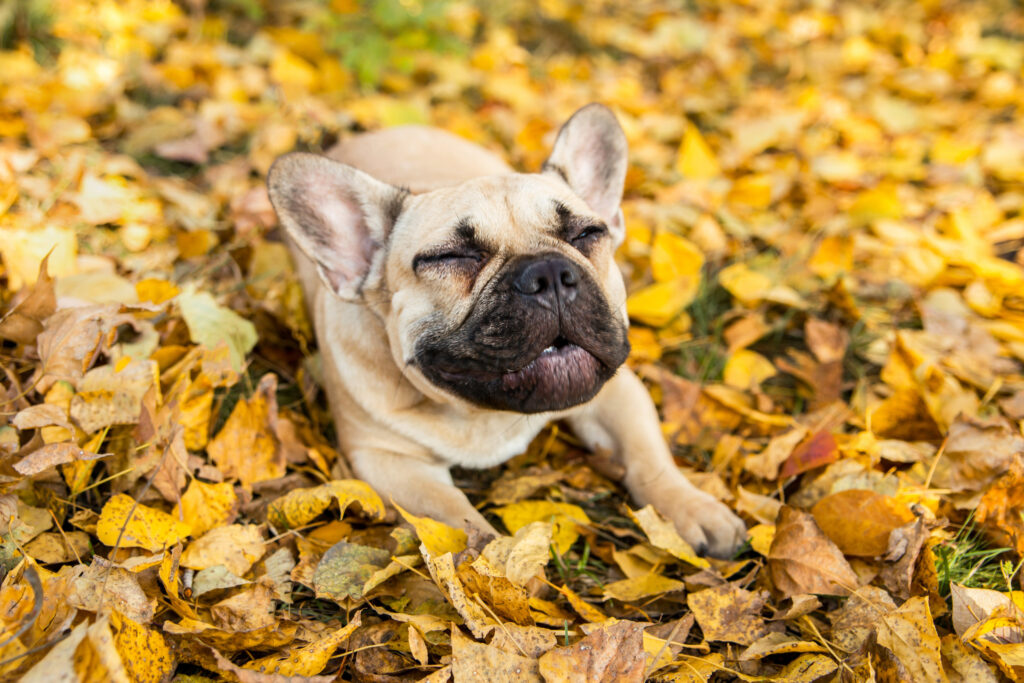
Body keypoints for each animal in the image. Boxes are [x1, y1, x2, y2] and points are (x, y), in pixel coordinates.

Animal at [264, 104, 745, 557]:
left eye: (587, 234)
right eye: (451, 257)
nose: (549, 273)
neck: (486, 416)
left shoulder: (618, 393)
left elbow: (648, 454)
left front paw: (691, 508)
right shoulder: (388, 460)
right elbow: (452, 518)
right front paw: (497, 567)